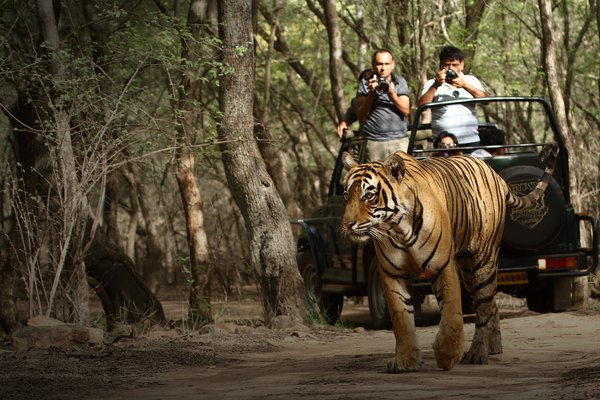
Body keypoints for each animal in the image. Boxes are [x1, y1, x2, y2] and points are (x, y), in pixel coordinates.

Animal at [342, 144, 556, 372]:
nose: (347, 224)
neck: (398, 228)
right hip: (468, 271)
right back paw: (494, 345)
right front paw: (405, 361)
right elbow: (401, 320)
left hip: (484, 259)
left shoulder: (442, 266)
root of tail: (496, 175)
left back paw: (477, 353)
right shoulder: (392, 274)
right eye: (346, 195)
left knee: (484, 306)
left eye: (368, 196)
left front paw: (447, 355)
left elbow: (452, 314)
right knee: (490, 303)